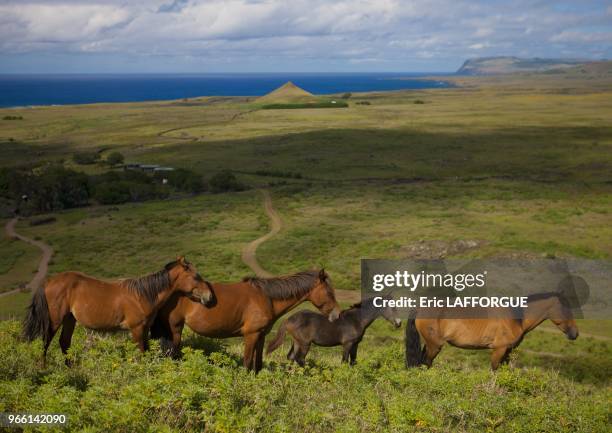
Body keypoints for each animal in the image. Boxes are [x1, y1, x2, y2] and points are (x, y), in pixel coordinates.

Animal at [22, 256, 214, 364]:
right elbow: (141, 353)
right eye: (196, 276)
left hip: (70, 319)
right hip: (55, 320)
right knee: (45, 342)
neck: (143, 295)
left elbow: (146, 351)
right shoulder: (136, 329)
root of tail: (48, 282)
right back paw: (43, 368)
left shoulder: (144, 329)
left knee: (64, 342)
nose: (209, 296)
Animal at [149, 266, 340, 372]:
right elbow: (247, 362)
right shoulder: (251, 335)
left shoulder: (261, 336)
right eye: (329, 292)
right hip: (175, 329)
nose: (337, 314)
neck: (266, 297)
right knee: (171, 353)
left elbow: (258, 364)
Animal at [266, 296, 402, 364]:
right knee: (300, 359)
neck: (356, 319)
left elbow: (353, 362)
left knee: (291, 357)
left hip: (296, 342)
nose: (399, 323)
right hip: (305, 343)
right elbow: (344, 361)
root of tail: (288, 319)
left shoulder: (355, 344)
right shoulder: (347, 344)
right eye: (391, 306)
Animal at [406, 292, 580, 370]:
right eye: (566, 309)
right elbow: (494, 370)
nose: (575, 334)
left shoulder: (508, 351)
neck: (516, 317)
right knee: (427, 362)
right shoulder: (499, 350)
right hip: (434, 345)